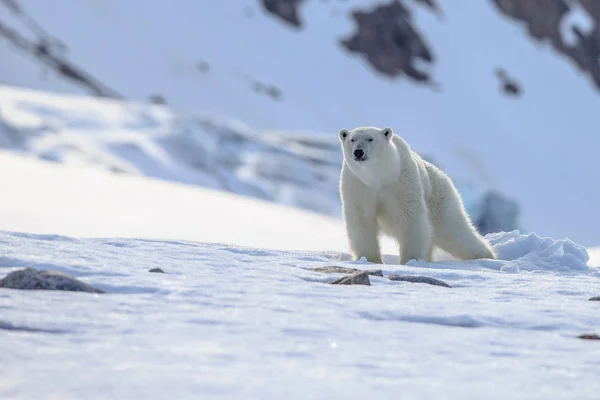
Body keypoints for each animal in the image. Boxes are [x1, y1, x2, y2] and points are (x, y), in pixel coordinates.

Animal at [338, 125, 496, 264]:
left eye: (370, 139)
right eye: (352, 139)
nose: (358, 152)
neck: (378, 177)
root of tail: (444, 176)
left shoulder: (403, 182)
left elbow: (410, 217)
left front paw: (410, 259)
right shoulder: (358, 185)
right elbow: (361, 218)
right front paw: (370, 259)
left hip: (439, 200)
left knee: (454, 231)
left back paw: (486, 256)